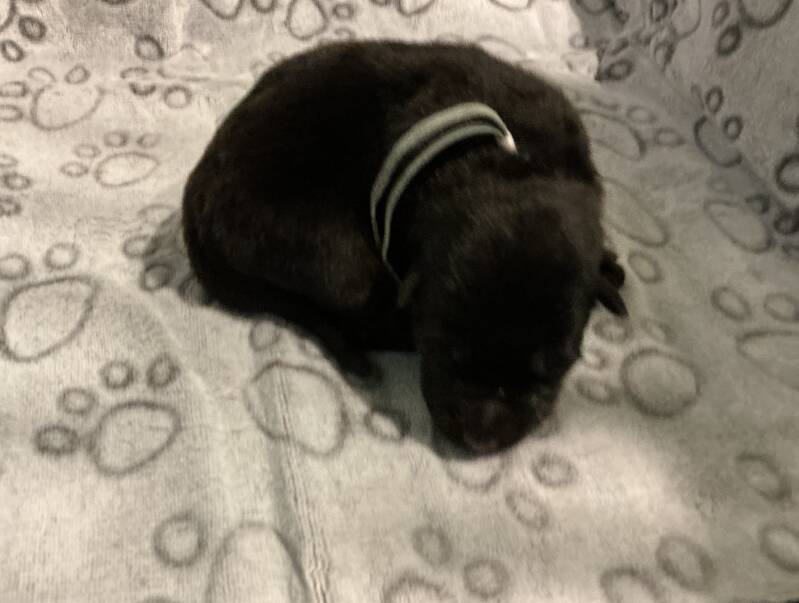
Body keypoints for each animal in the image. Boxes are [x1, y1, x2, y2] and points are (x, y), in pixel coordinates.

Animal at [182, 40, 627, 454]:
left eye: (550, 369)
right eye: (446, 352)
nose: (480, 439)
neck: (511, 163)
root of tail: (195, 202)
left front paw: (609, 265)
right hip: (329, 250)